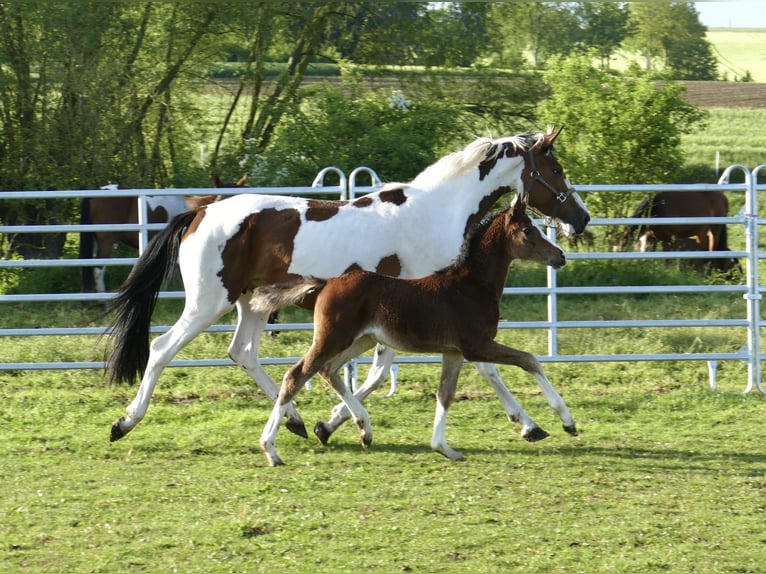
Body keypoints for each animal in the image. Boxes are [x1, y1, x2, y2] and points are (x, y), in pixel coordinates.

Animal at [251, 200, 574, 466]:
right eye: (528, 231)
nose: (560, 256)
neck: (471, 286)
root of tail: (326, 281)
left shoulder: (454, 352)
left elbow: (445, 394)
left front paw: (443, 447)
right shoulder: (477, 345)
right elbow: (529, 359)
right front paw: (567, 421)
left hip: (361, 339)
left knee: (327, 370)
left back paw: (363, 430)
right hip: (333, 337)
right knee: (296, 375)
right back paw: (270, 448)